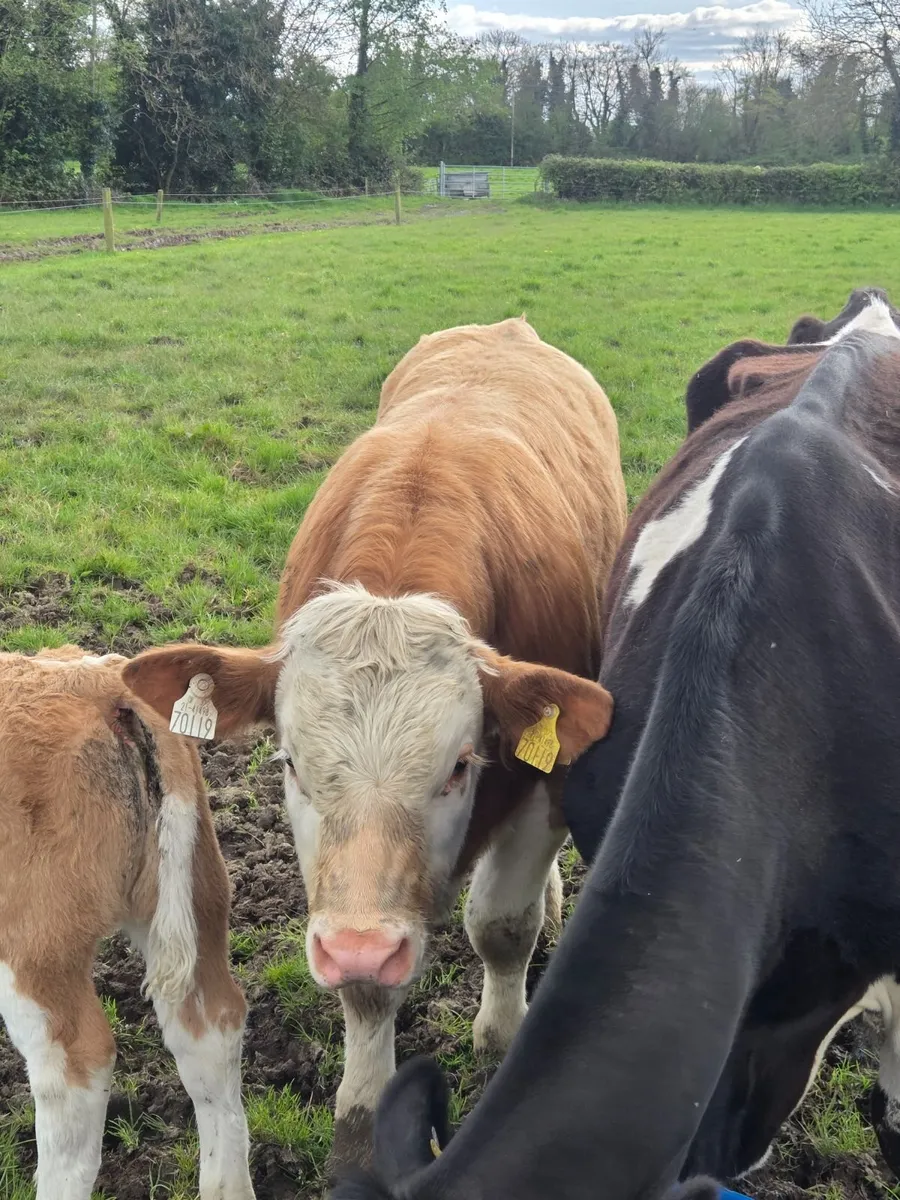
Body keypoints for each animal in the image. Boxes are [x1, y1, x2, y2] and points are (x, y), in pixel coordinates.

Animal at [121, 317, 628, 1165]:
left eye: (459, 767)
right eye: (290, 764)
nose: (361, 944)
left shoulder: (544, 783)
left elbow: (502, 927)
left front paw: (501, 1040)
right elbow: (365, 994)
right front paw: (361, 1119)